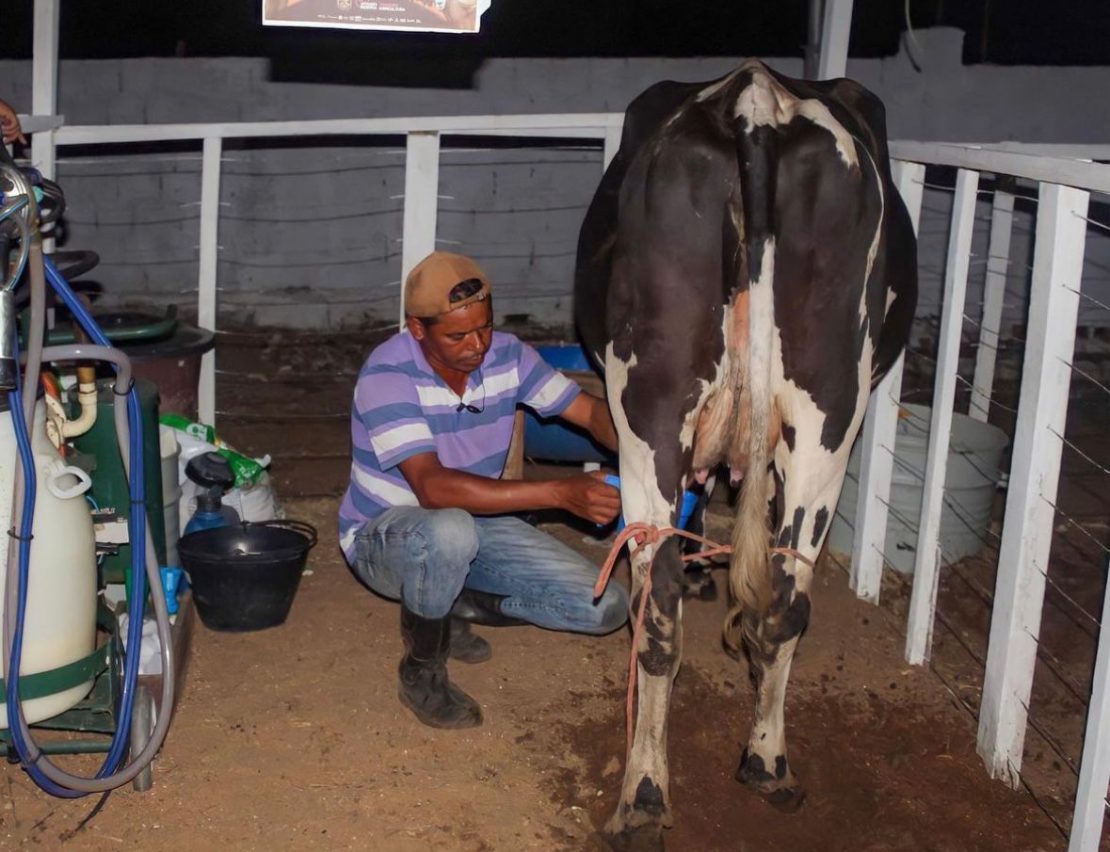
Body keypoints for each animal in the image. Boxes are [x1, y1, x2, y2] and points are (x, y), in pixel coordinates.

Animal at [577, 58, 914, 843]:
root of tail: (756, 98)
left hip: (653, 414)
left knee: (661, 602)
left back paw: (645, 792)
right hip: (827, 419)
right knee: (785, 598)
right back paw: (763, 761)